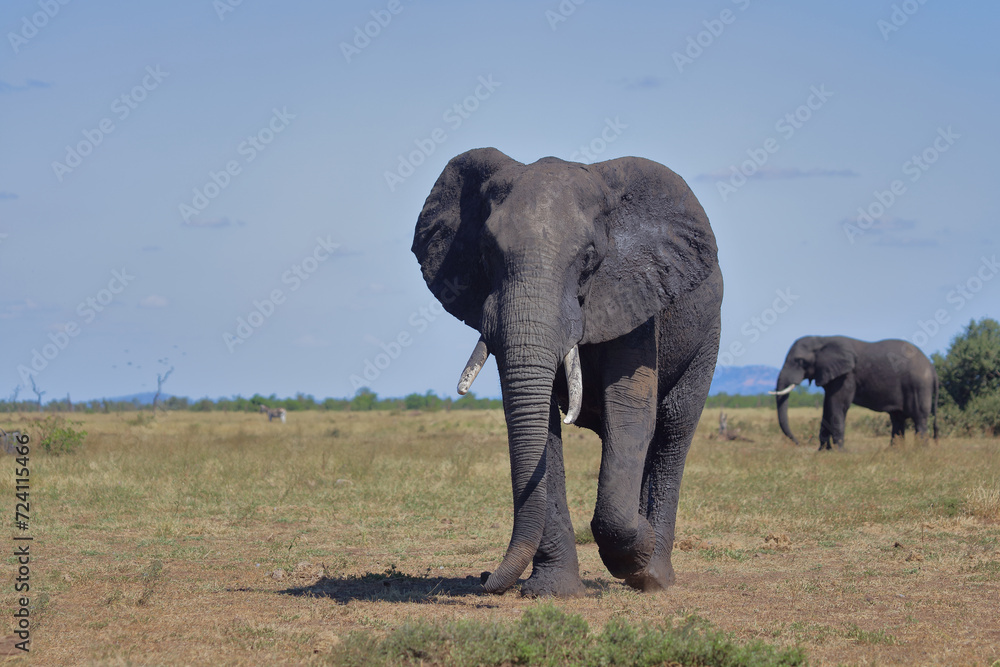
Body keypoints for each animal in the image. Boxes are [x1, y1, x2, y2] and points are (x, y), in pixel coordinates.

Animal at [412, 147, 722, 597]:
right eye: (485, 254)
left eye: (589, 258)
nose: (485, 577)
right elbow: (537, 422)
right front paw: (552, 591)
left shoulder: (635, 290)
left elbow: (630, 410)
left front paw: (635, 556)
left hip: (706, 334)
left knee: (673, 428)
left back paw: (654, 576)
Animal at [771, 335, 938, 449]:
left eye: (800, 361)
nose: (799, 442)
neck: (822, 339)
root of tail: (931, 366)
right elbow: (827, 407)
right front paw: (823, 451)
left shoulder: (847, 376)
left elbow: (838, 406)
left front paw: (840, 452)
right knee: (897, 419)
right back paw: (894, 451)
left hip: (919, 385)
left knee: (919, 418)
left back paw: (919, 450)